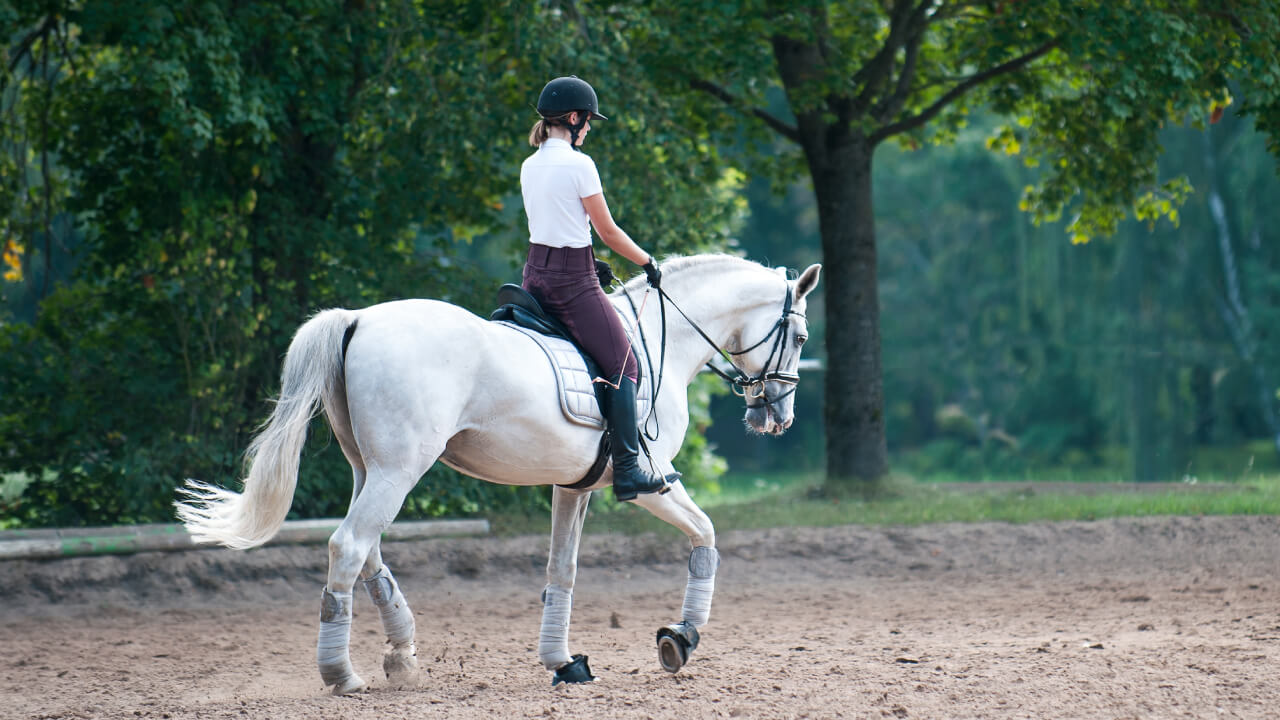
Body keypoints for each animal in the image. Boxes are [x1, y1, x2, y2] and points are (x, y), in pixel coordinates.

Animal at [175, 253, 822, 693]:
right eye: (801, 336)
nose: (777, 416)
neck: (664, 339)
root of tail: (356, 319)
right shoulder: (652, 482)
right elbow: (705, 534)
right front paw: (680, 638)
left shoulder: (572, 487)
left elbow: (562, 570)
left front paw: (564, 662)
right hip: (398, 470)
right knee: (350, 546)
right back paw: (342, 673)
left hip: (370, 469)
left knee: (368, 552)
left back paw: (402, 657)